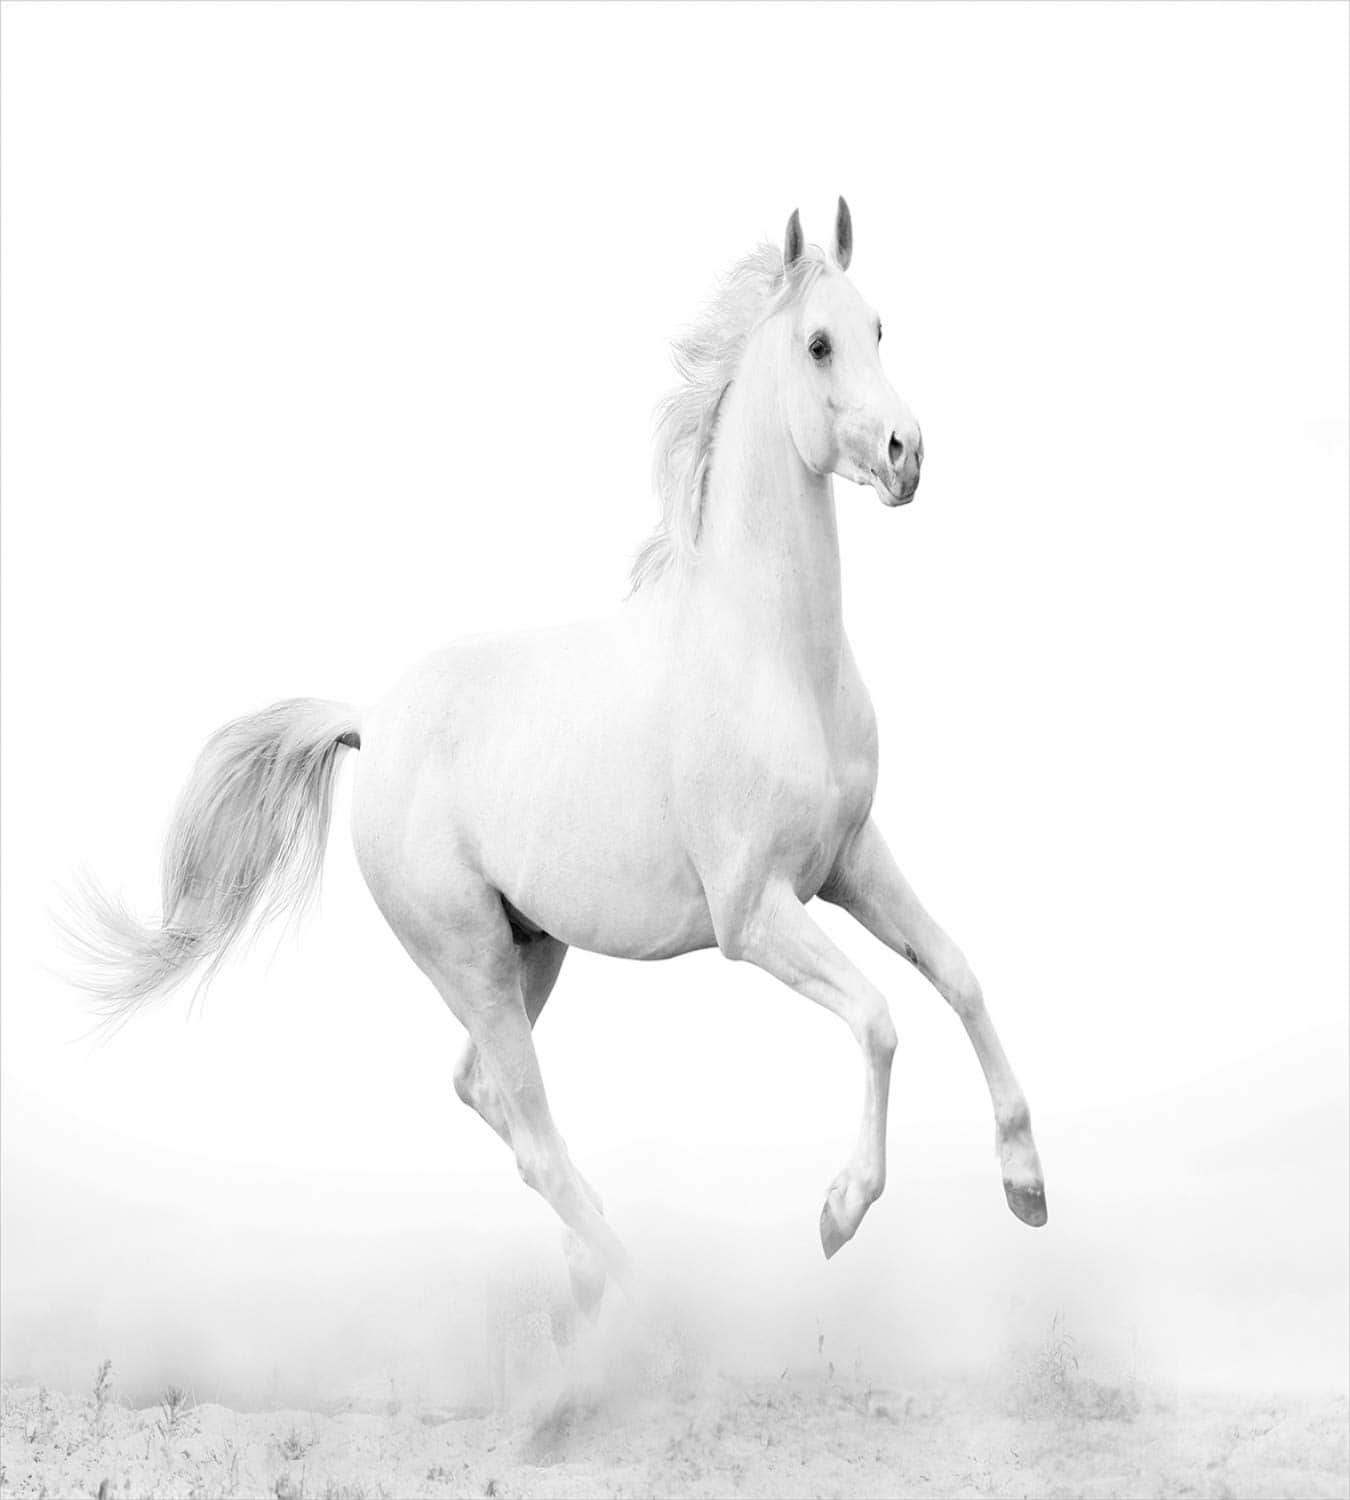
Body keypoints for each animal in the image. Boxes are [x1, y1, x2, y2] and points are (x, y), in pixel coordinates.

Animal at [63, 199, 1047, 1316]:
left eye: (882, 327)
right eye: (818, 343)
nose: (905, 452)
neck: (769, 657)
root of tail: (372, 721)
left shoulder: (851, 862)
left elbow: (958, 973)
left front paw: (1026, 1186)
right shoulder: (753, 914)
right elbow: (881, 1017)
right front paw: (842, 1212)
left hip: (533, 947)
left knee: (486, 1091)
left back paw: (588, 1265)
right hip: (471, 957)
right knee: (524, 1124)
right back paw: (630, 1289)